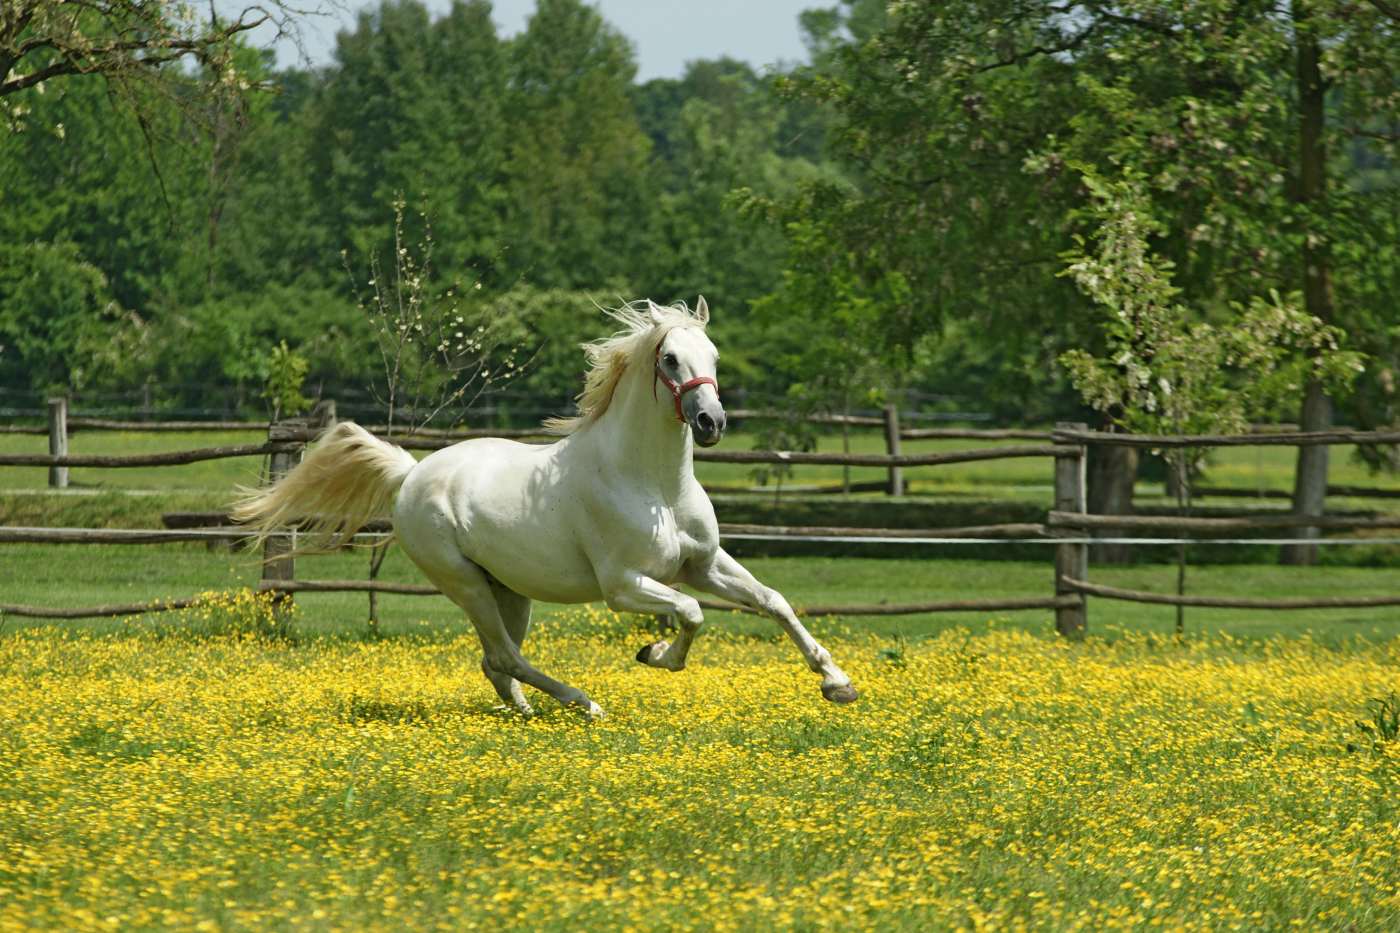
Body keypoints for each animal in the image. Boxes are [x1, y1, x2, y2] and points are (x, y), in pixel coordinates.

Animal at [232, 298, 851, 711]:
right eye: (671, 358)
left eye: (714, 354)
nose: (711, 422)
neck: (656, 486)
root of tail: (411, 473)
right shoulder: (623, 586)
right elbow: (692, 613)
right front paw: (654, 654)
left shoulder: (701, 564)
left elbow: (773, 601)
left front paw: (837, 683)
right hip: (464, 583)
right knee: (506, 656)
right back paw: (582, 703)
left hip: (510, 591)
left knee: (495, 660)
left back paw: (527, 711)